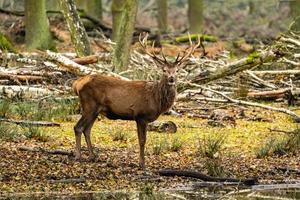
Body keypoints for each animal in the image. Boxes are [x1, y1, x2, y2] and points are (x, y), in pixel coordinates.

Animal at [72, 34, 200, 169]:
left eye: (177, 70)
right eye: (164, 70)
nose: (171, 79)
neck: (156, 99)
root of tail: (77, 84)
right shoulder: (141, 115)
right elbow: (142, 140)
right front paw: (142, 164)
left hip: (95, 110)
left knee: (87, 130)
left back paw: (92, 156)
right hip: (89, 105)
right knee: (78, 127)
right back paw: (78, 156)